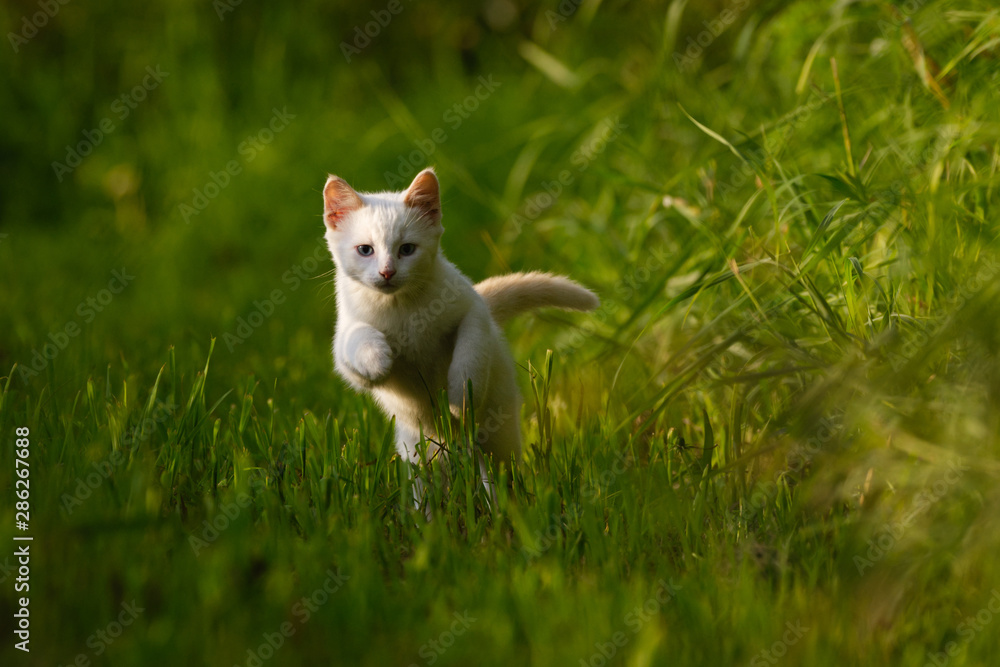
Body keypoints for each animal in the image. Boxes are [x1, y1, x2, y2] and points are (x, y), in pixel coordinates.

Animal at [324, 168, 596, 474]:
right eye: (365, 250)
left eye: (407, 249)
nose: (387, 272)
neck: (400, 306)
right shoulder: (346, 351)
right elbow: (357, 340)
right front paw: (377, 359)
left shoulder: (473, 308)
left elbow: (470, 347)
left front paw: (462, 396)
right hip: (418, 449)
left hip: (498, 433)